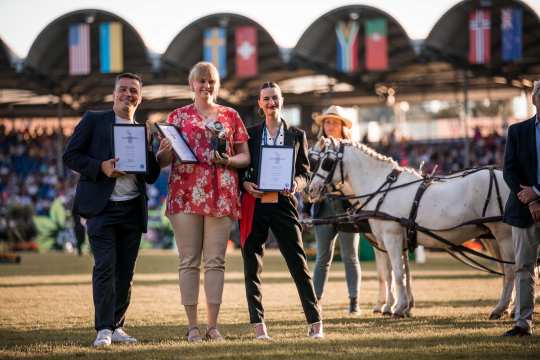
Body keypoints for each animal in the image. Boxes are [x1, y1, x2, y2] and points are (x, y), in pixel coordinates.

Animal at [308, 138, 516, 318]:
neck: (382, 188)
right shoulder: (398, 239)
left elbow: (396, 273)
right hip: (493, 237)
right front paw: (404, 306)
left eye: (327, 162)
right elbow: (401, 272)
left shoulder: (391, 237)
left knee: (511, 270)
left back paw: (501, 309)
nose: (310, 190)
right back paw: (509, 308)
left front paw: (397, 308)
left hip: (503, 235)